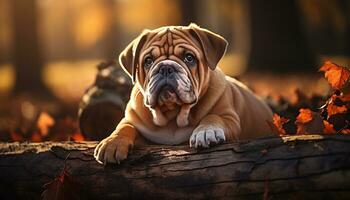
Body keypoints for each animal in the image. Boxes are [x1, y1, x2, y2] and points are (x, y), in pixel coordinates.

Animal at [93, 23, 274, 164]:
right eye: (148, 61)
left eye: (189, 57)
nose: (166, 68)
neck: (173, 115)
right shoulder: (133, 119)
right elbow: (124, 126)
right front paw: (112, 142)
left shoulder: (229, 118)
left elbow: (214, 117)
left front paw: (206, 132)